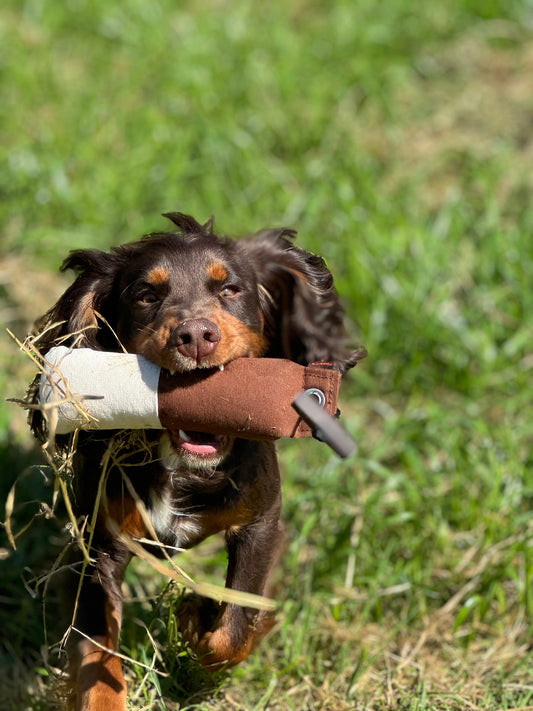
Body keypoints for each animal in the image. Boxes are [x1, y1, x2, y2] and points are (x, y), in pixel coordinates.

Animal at [29, 214, 362, 708]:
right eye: (146, 295)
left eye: (231, 289)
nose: (196, 336)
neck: (185, 469)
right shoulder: (98, 542)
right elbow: (96, 654)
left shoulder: (262, 518)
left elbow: (235, 626)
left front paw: (194, 617)